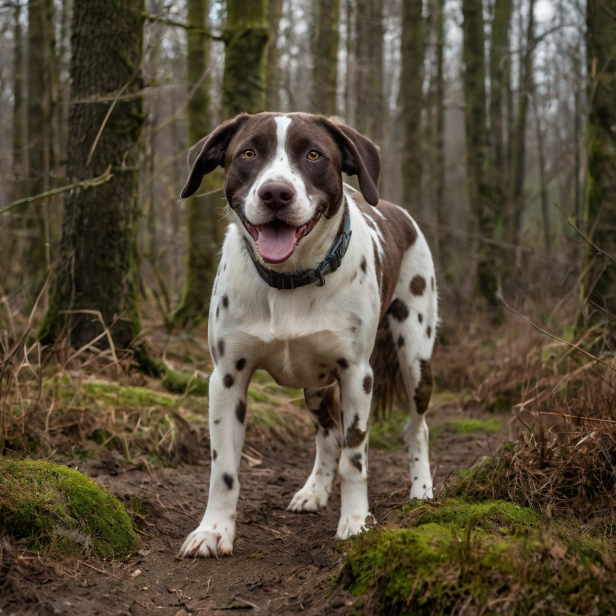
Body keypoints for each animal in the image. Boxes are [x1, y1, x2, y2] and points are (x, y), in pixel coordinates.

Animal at [178, 112, 438, 560]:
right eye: (249, 153)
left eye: (313, 155)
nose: (275, 193)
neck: (290, 279)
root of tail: (397, 209)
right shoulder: (226, 378)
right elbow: (223, 467)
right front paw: (214, 530)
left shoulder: (357, 375)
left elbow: (356, 458)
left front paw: (356, 521)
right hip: (315, 385)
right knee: (327, 435)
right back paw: (314, 490)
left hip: (416, 355)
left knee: (415, 427)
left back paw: (421, 488)